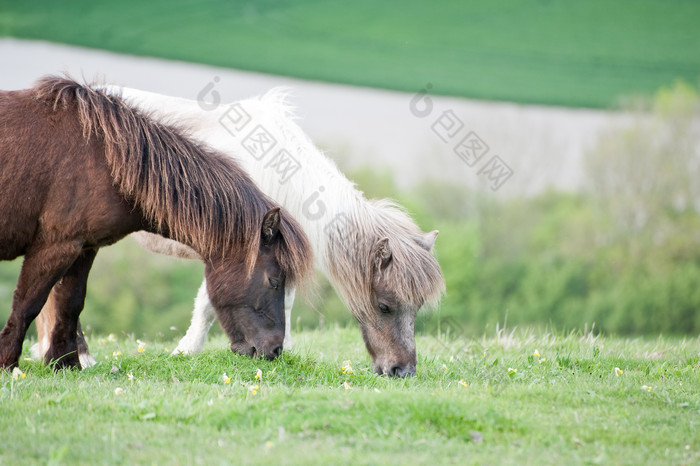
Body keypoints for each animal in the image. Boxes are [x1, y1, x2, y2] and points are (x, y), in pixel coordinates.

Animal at [0, 77, 312, 372]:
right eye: (274, 280)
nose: (275, 350)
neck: (105, 158)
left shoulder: (82, 248)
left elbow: (70, 303)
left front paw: (65, 364)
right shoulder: (55, 247)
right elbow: (28, 303)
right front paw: (9, 365)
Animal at [35, 87, 442, 376]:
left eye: (417, 307)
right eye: (385, 305)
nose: (402, 371)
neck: (281, 177)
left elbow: (284, 299)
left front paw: (284, 347)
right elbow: (207, 304)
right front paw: (187, 350)